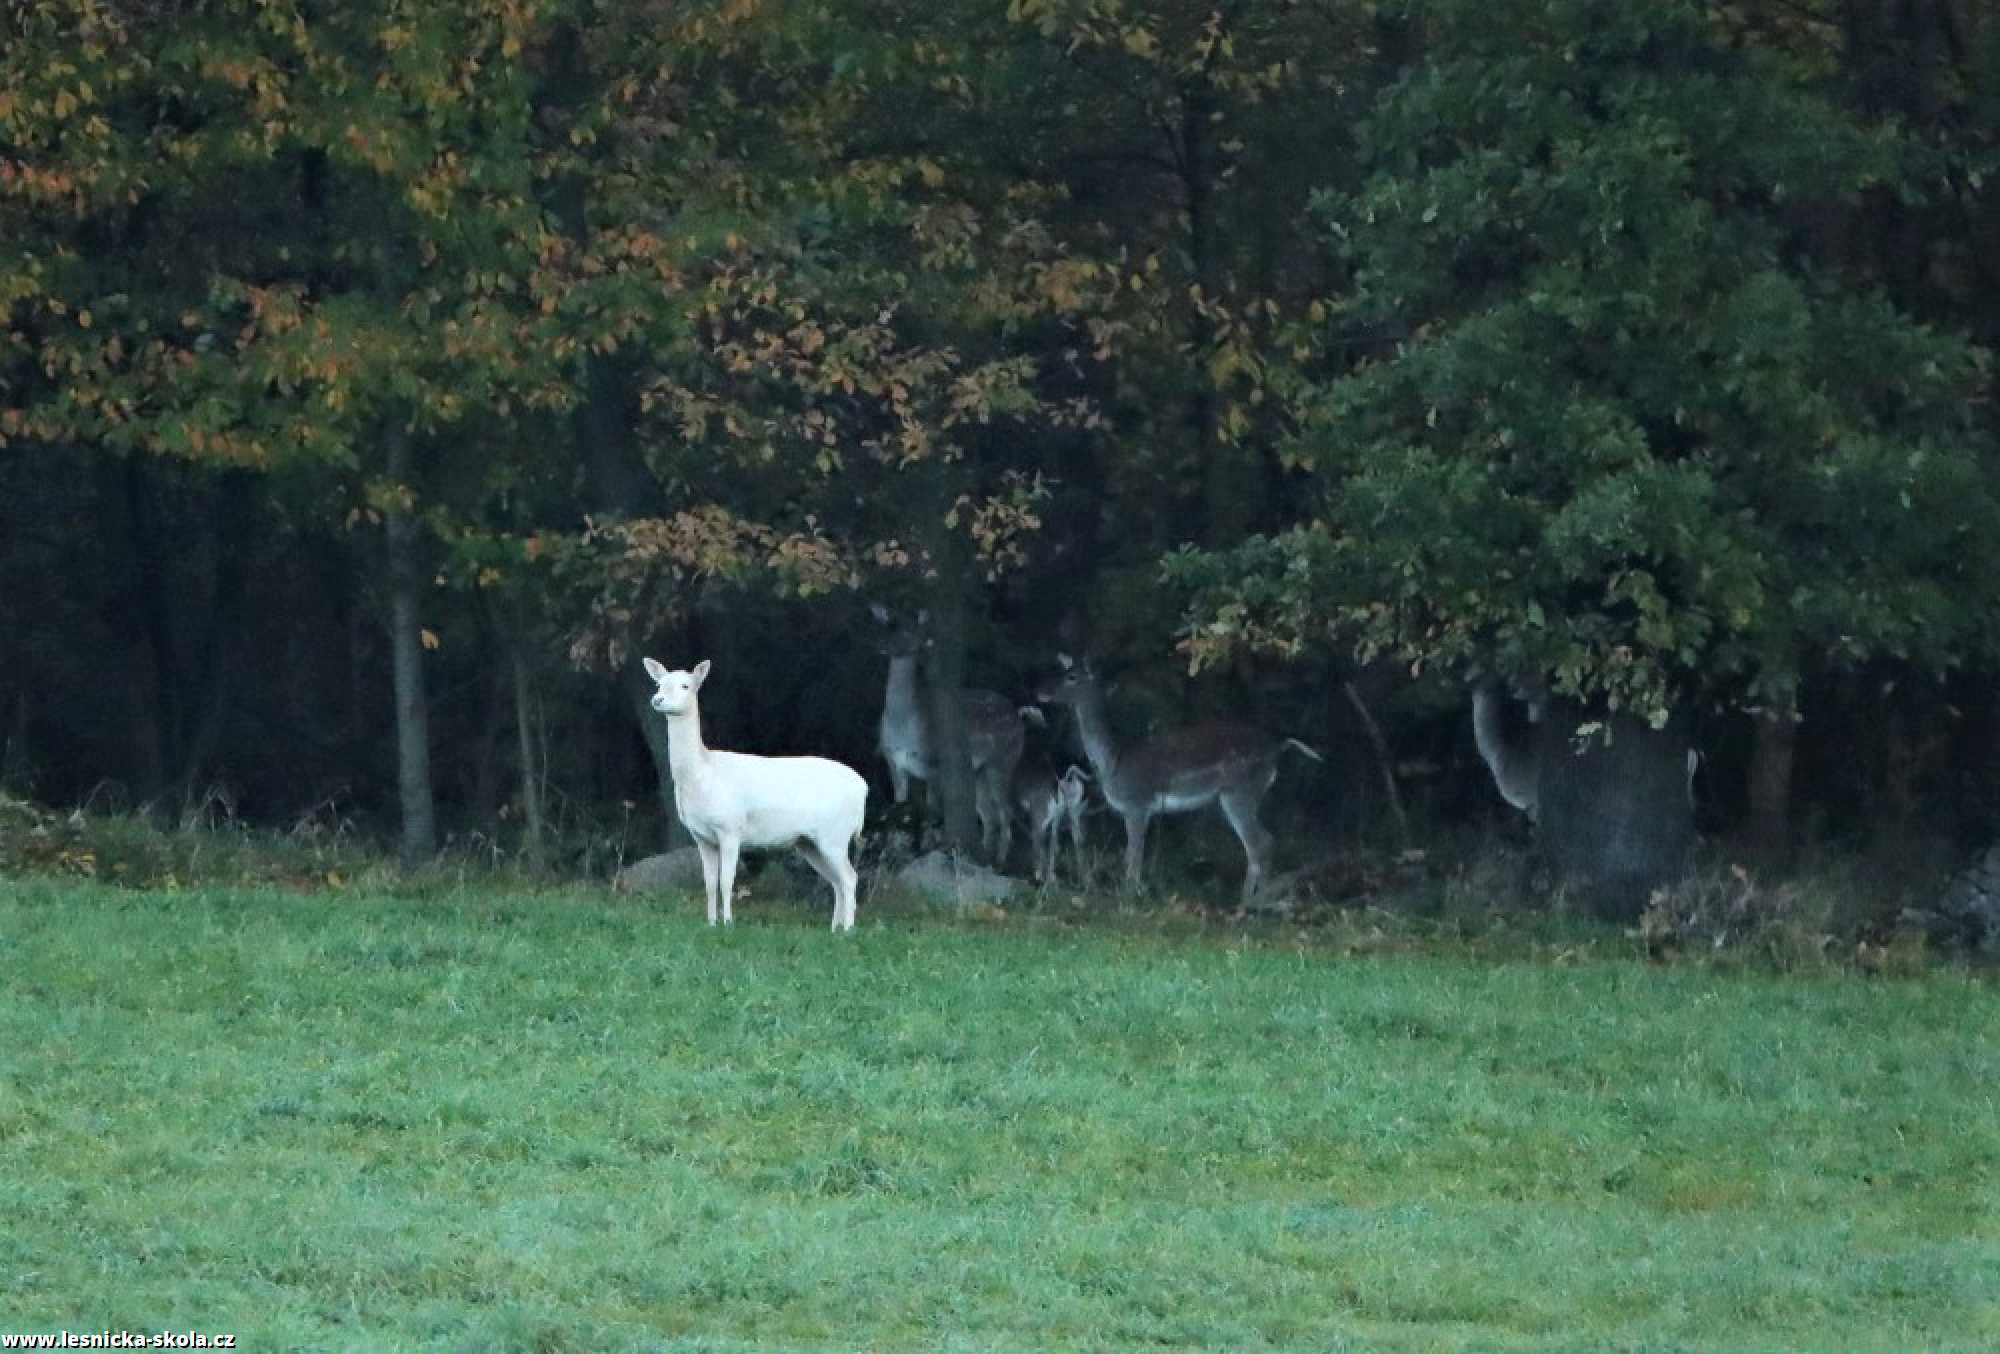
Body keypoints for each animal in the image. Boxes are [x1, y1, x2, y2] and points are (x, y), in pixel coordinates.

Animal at [640, 656, 860, 928]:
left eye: (685, 685)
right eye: (659, 683)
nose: (657, 699)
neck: (703, 773)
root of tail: (863, 788)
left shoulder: (730, 827)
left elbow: (727, 881)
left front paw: (728, 923)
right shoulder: (700, 836)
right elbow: (709, 883)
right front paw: (711, 923)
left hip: (836, 834)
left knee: (850, 877)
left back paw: (848, 929)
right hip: (810, 842)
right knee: (837, 881)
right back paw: (834, 929)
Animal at [1040, 648, 1320, 904]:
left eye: (1072, 677)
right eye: (1063, 671)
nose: (1042, 691)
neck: (1114, 759)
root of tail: (1278, 746)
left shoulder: (1137, 804)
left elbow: (1133, 858)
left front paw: (1128, 900)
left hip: (1240, 791)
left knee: (1261, 842)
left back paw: (1248, 904)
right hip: (1247, 793)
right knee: (1263, 842)